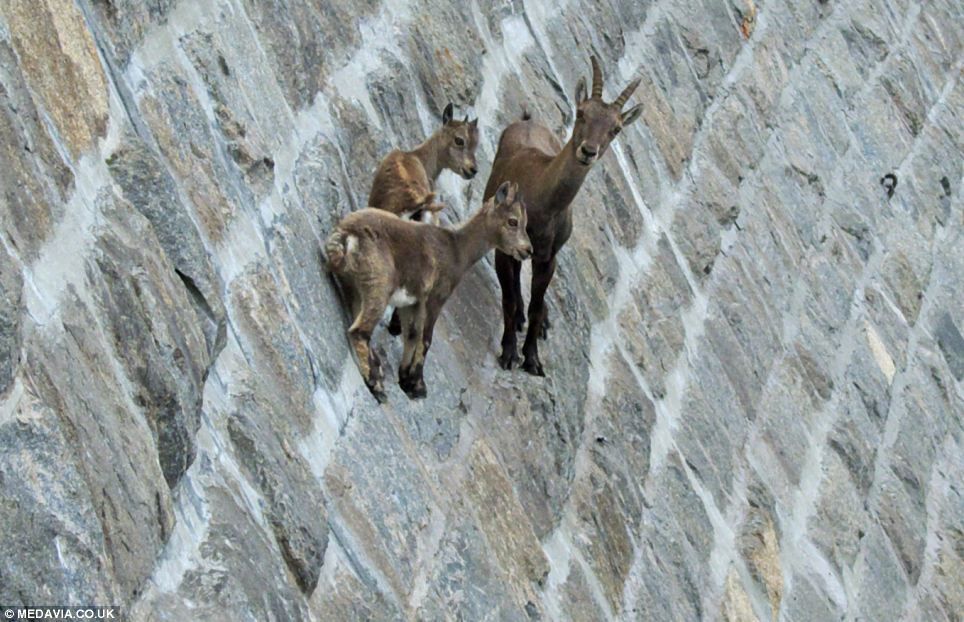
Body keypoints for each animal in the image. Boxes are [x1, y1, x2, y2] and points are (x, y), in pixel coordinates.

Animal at [325, 181, 532, 402]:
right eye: (513, 221)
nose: (528, 250)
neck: (457, 250)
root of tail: (346, 234)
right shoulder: (436, 297)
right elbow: (426, 339)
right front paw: (418, 385)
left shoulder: (412, 302)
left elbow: (412, 334)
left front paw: (405, 378)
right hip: (380, 286)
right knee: (359, 331)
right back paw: (376, 385)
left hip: (354, 288)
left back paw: (377, 371)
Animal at [482, 56, 642, 376]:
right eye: (581, 113)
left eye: (616, 128)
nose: (588, 151)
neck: (542, 204)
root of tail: (528, 120)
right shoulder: (504, 250)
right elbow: (508, 298)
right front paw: (509, 353)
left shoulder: (548, 258)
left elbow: (535, 304)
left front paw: (532, 359)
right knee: (515, 281)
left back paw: (541, 321)